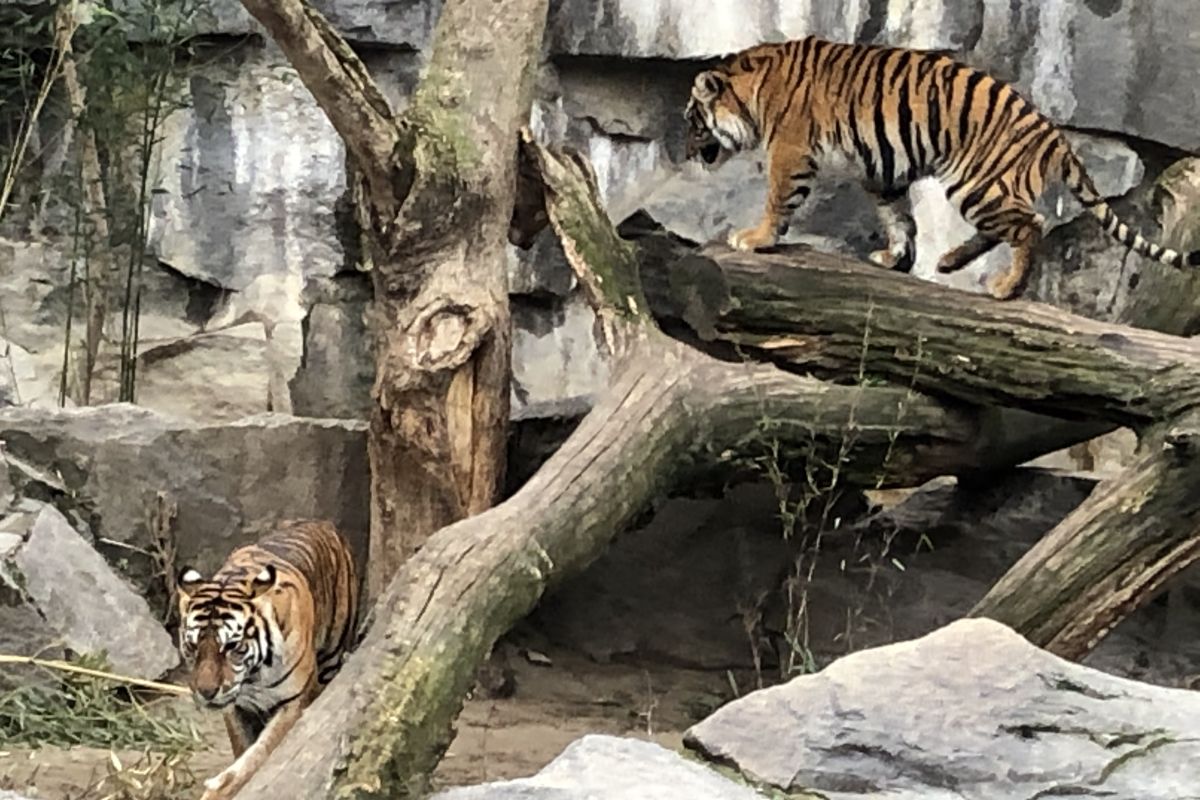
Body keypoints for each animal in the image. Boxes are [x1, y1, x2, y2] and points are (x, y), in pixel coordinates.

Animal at [174, 520, 360, 800]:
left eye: (232, 646)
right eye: (192, 646)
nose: (206, 692)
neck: (253, 674)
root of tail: (322, 523)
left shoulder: (294, 702)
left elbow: (261, 750)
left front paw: (225, 784)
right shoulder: (235, 706)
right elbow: (242, 746)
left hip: (332, 654)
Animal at [686, 37, 1200, 299]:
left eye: (692, 119)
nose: (688, 151)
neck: (751, 88)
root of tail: (1052, 132)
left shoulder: (790, 150)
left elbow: (778, 198)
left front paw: (756, 238)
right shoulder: (882, 171)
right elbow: (898, 217)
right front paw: (895, 258)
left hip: (977, 182)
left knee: (1029, 224)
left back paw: (1006, 287)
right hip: (981, 185)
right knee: (1009, 224)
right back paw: (950, 261)